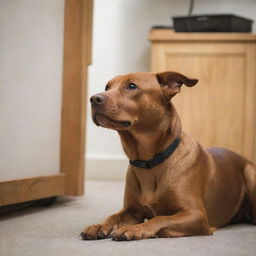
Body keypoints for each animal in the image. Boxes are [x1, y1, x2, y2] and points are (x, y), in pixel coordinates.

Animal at [80, 71, 256, 241]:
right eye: (107, 86)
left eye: (132, 86)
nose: (94, 99)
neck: (149, 162)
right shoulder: (131, 211)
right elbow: (113, 216)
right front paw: (99, 225)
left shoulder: (196, 215)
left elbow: (160, 218)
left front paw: (135, 229)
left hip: (250, 175)